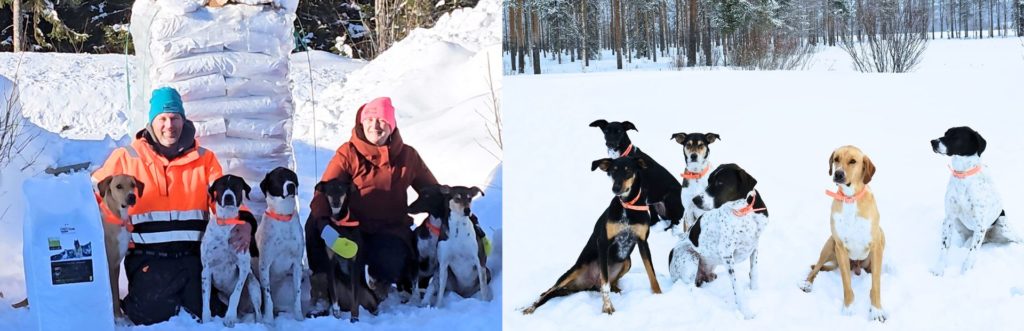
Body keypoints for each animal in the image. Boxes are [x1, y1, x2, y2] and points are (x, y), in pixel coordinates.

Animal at [201, 175, 262, 327]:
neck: (226, 223)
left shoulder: (244, 267)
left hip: (253, 283)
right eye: (221, 186)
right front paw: (206, 320)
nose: (228, 197)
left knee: (258, 314)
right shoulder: (206, 269)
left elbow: (235, 294)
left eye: (236, 186)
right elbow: (205, 298)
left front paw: (229, 317)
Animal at [254, 167, 303, 323]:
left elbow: (297, 294)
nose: (291, 186)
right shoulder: (264, 265)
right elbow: (268, 296)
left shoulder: (297, 264)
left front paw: (299, 317)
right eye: (278, 178)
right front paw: (268, 320)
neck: (283, 218)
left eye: (292, 177)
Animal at [671, 164, 770, 319]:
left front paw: (755, 292)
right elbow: (737, 287)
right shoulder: (727, 255)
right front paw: (746, 312)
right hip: (690, 256)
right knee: (690, 287)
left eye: (720, 183)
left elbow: (754, 273)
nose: (695, 200)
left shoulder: (755, 245)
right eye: (709, 181)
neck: (744, 212)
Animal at [929, 126, 1015, 276]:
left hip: (1003, 227)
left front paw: (964, 274)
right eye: (945, 134)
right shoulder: (949, 219)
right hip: (958, 223)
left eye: (956, 137)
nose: (933, 142)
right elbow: (945, 247)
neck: (963, 174)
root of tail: (989, 237)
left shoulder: (980, 226)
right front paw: (939, 270)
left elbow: (971, 253)